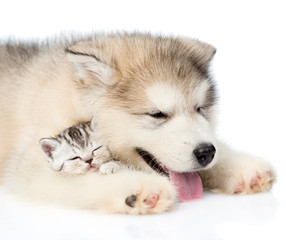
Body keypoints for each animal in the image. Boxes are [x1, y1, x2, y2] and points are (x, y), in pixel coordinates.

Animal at [0, 33, 274, 214]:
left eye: (200, 109)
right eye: (158, 114)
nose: (206, 152)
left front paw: (240, 166)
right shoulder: (31, 165)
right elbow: (88, 175)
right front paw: (140, 187)